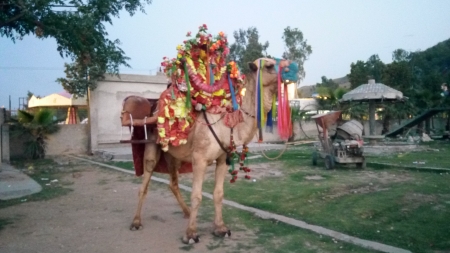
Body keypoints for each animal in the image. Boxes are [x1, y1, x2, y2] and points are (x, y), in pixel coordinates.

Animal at [119, 25, 298, 243]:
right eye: (270, 65)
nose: (294, 67)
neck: (227, 122)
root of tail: (153, 107)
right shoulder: (200, 159)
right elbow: (197, 195)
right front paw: (191, 234)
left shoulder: (222, 158)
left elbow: (218, 193)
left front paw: (220, 228)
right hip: (152, 143)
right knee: (145, 183)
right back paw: (136, 222)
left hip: (173, 154)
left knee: (173, 183)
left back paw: (186, 212)